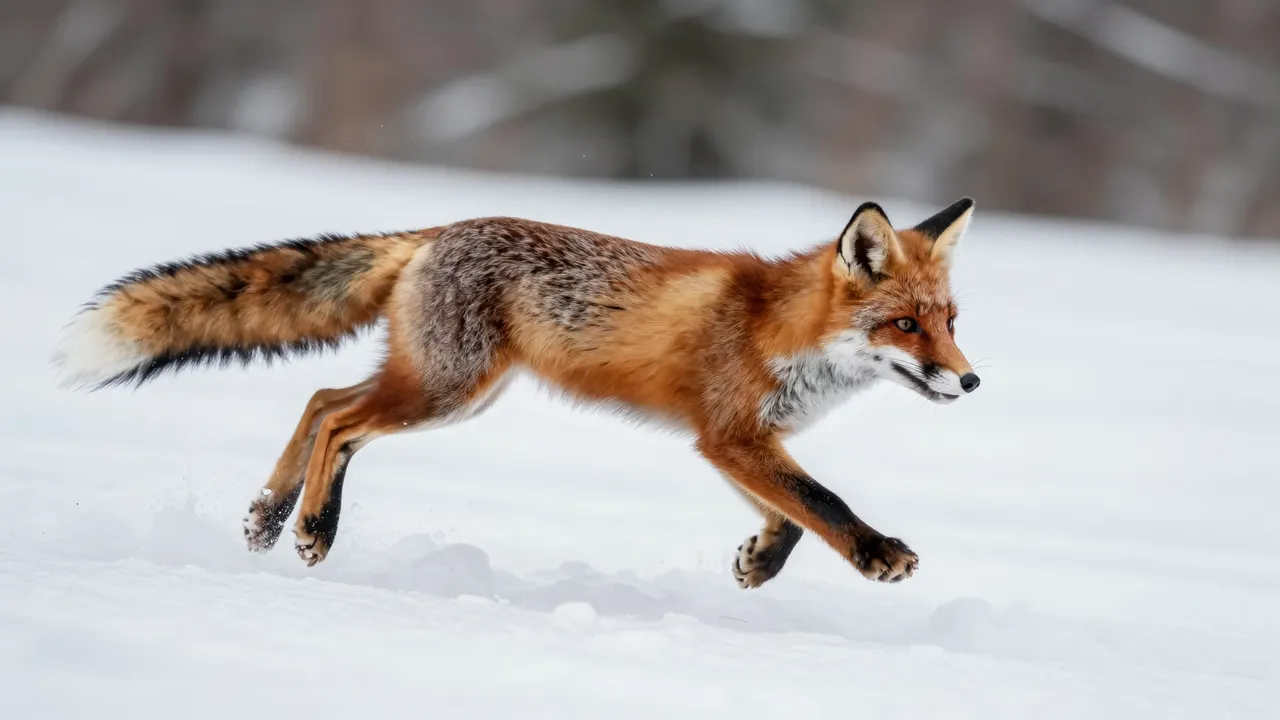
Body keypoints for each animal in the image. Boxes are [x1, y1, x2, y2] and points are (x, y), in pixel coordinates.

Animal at [55, 198, 981, 589]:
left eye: (950, 320)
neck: (780, 329)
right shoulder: (730, 433)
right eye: (905, 325)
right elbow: (821, 502)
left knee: (320, 399)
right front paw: (877, 554)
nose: (970, 379)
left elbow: (788, 514)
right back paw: (314, 527)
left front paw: (758, 562)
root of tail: (439, 229)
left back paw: (269, 516)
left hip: (444, 387)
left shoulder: (733, 441)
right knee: (340, 420)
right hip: (445, 391)